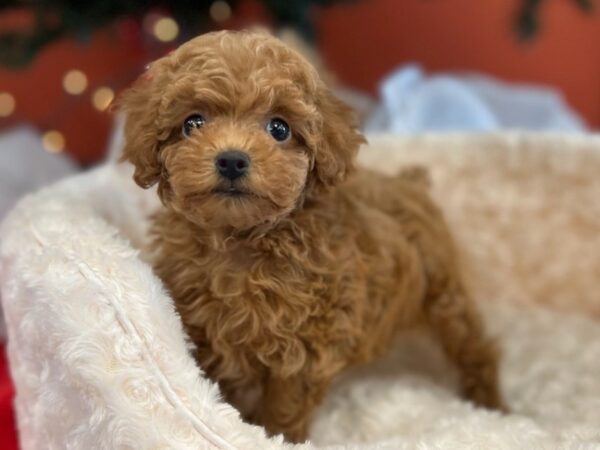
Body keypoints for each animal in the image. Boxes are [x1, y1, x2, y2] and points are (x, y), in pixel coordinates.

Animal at [119, 29, 504, 442]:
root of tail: (409, 183)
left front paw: (274, 437)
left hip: (444, 292)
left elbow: (286, 406)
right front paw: (236, 420)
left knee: (474, 347)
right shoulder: (212, 335)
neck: (242, 239)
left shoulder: (306, 349)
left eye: (279, 128)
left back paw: (490, 403)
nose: (232, 160)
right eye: (193, 123)